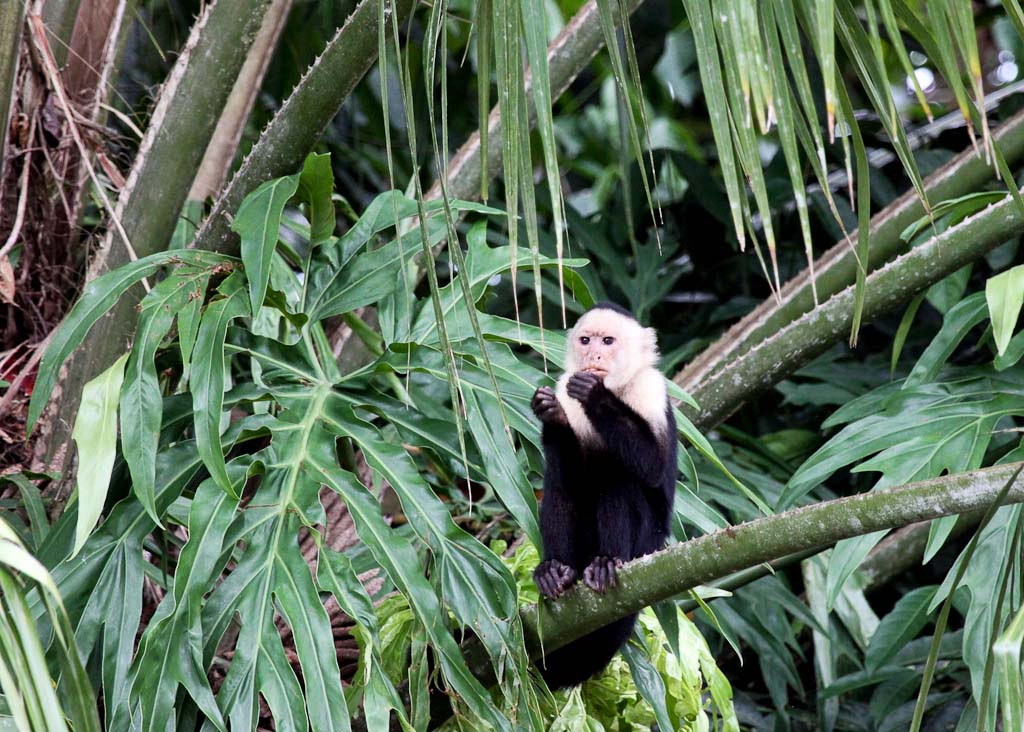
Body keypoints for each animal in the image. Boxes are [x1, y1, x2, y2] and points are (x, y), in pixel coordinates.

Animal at [530, 301, 678, 689]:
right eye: (586, 340)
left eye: (608, 341)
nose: (593, 354)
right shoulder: (563, 387)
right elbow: (569, 475)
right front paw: (552, 415)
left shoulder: (650, 388)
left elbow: (653, 465)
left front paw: (595, 395)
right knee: (562, 488)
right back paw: (558, 571)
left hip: (648, 545)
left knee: (618, 481)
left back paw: (607, 562)